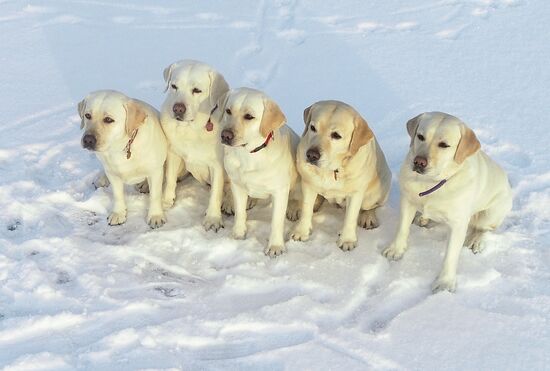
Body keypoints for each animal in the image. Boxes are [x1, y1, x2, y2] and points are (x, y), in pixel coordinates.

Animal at [78, 91, 167, 228]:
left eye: (108, 119)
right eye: (87, 115)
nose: (88, 140)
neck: (121, 147)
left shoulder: (155, 171)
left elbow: (155, 196)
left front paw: (155, 216)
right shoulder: (112, 173)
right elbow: (118, 195)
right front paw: (118, 213)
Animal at [162, 59, 235, 231]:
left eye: (197, 90)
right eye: (174, 86)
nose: (178, 108)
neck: (191, 129)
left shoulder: (217, 165)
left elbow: (216, 193)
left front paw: (213, 218)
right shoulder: (173, 153)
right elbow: (170, 178)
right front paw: (167, 201)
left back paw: (229, 203)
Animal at [218, 88, 302, 256]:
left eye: (249, 116)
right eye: (228, 111)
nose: (225, 135)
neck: (249, 155)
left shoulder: (279, 191)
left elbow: (276, 221)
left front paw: (275, 246)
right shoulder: (237, 185)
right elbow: (240, 212)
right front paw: (238, 234)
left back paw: (294, 208)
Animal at [292, 101, 394, 251]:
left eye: (336, 135)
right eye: (312, 127)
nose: (311, 155)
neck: (332, 170)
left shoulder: (355, 193)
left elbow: (350, 217)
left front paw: (347, 240)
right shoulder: (308, 184)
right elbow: (306, 209)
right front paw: (301, 232)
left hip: (376, 192)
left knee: (371, 207)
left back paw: (368, 218)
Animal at [384, 112, 512, 292]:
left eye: (444, 145)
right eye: (420, 136)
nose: (419, 162)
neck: (431, 182)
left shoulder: (458, 223)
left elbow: (450, 255)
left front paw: (445, 282)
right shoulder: (407, 200)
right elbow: (402, 228)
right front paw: (396, 249)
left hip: (491, 212)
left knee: (485, 229)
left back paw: (476, 240)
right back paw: (422, 218)